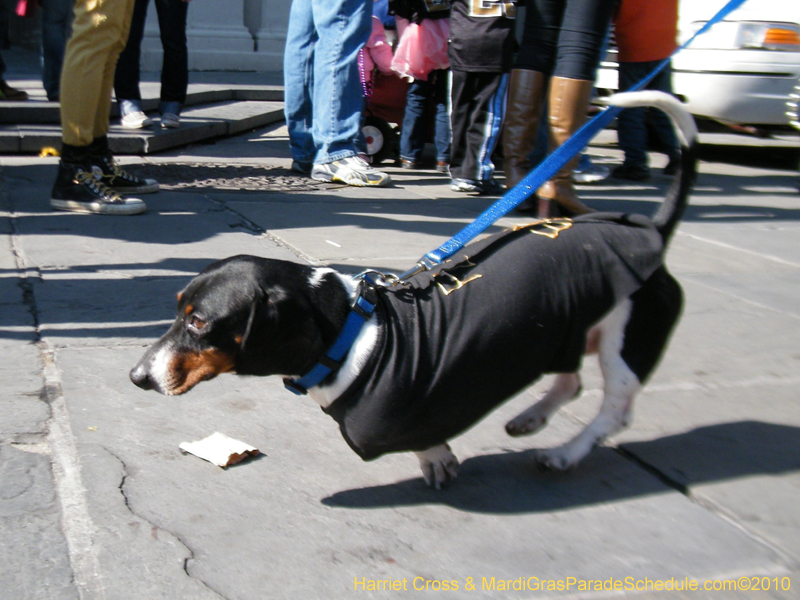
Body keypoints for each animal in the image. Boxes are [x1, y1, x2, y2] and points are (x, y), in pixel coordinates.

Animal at [130, 92, 692, 488]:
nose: (136, 377)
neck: (351, 333)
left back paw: (566, 452)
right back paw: (530, 419)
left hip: (623, 341)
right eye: (177, 310)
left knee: (613, 411)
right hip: (567, 324)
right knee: (570, 382)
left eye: (199, 321)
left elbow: (426, 436)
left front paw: (437, 460)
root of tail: (650, 230)